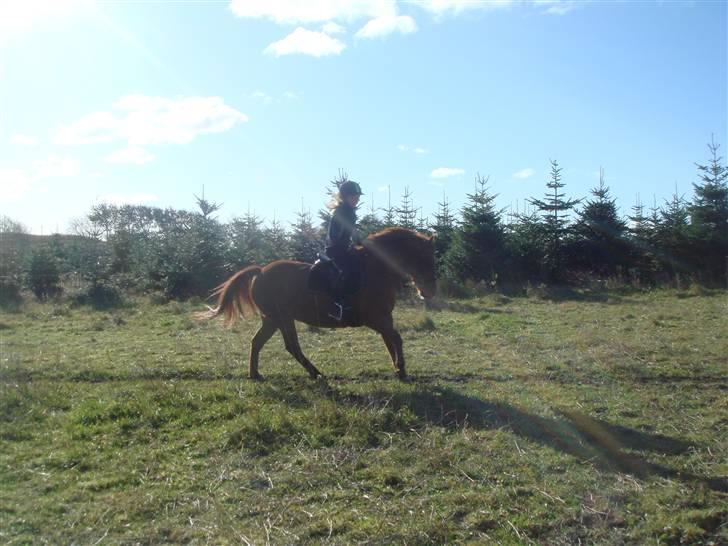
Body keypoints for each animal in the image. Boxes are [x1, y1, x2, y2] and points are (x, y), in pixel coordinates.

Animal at [198, 225, 438, 378]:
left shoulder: (384, 318)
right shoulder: (376, 318)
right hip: (281, 318)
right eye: (425, 258)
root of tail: (260, 271)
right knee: (291, 346)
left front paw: (398, 369)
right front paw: (402, 370)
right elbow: (396, 339)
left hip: (273, 319)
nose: (429, 292)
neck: (376, 269)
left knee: (258, 342)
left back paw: (256, 374)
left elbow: (391, 342)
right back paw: (314, 373)